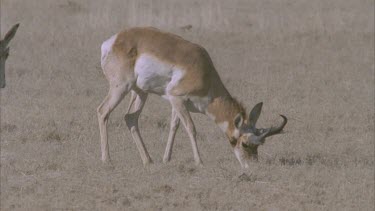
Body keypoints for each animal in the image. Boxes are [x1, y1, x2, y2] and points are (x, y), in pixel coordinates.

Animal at [97, 27, 288, 168]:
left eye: (259, 145)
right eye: (244, 143)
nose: (252, 166)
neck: (203, 71)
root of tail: (113, 41)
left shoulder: (177, 103)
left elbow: (174, 126)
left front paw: (166, 159)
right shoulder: (176, 98)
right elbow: (190, 127)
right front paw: (199, 162)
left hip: (140, 92)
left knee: (130, 118)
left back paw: (148, 160)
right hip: (121, 88)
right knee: (102, 111)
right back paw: (107, 160)